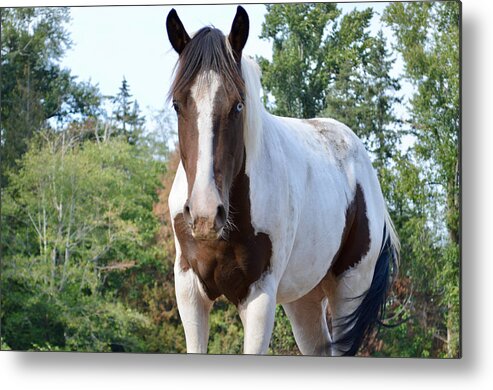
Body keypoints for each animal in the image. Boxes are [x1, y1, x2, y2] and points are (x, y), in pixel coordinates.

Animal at [164, 5, 396, 356]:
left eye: (238, 105)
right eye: (178, 105)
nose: (205, 214)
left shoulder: (259, 296)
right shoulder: (190, 290)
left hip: (349, 291)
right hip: (305, 299)